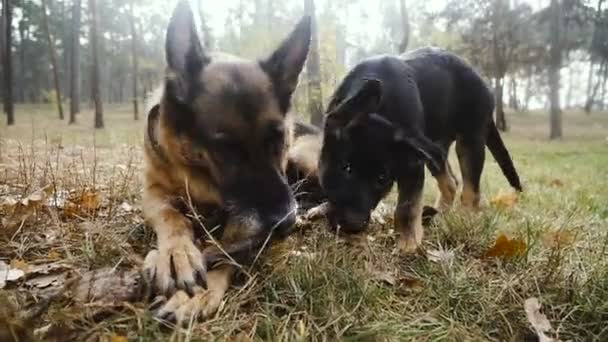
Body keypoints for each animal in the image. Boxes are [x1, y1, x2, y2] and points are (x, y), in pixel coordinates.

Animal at [143, 2, 312, 324]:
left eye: (278, 139)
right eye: (226, 148)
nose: (285, 223)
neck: (198, 172)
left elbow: (228, 245)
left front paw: (199, 289)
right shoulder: (152, 190)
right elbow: (171, 216)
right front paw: (176, 252)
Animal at [318, 46, 524, 252]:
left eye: (382, 179)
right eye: (346, 167)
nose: (353, 226)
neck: (380, 109)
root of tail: (486, 87)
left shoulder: (412, 163)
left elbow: (407, 206)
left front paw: (408, 243)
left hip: (468, 142)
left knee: (471, 192)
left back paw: (463, 221)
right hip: (434, 149)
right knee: (451, 183)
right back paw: (440, 216)